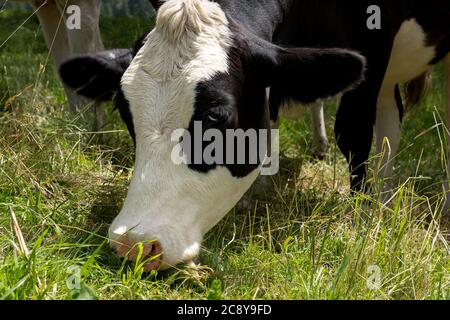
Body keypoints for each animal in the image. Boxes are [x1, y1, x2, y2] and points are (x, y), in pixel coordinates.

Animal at [59, 0, 450, 272]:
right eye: (125, 112)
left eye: (215, 117)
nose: (134, 244)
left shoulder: (374, 42)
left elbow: (353, 136)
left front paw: (359, 220)